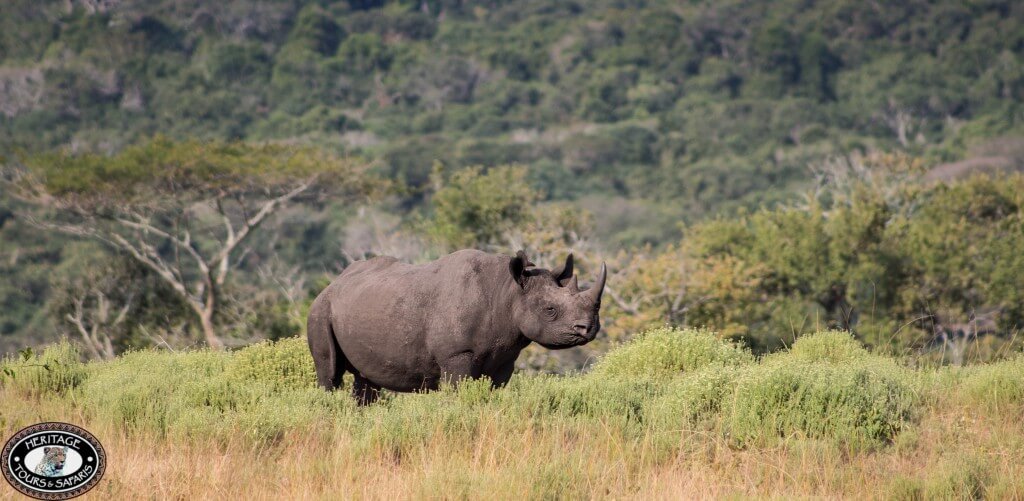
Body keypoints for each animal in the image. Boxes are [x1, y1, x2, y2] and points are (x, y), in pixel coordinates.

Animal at [307, 249, 606, 404]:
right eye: (550, 310)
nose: (588, 329)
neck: (506, 291)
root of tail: (333, 283)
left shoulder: (504, 358)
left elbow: (492, 391)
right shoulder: (456, 354)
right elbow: (459, 392)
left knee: (365, 381)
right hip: (320, 310)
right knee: (329, 372)